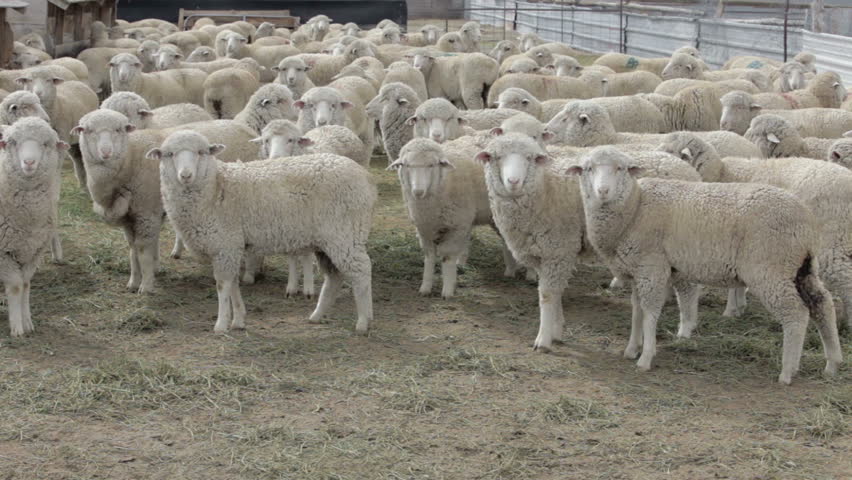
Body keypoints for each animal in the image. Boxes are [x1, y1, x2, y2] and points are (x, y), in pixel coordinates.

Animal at [0, 118, 67, 337]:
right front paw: (17, 328)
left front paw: (27, 321)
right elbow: (15, 286)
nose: (29, 162)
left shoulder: (34, 251)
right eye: (13, 142)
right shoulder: (4, 253)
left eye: (46, 143)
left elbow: (26, 284)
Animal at [151, 131, 376, 333]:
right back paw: (317, 316)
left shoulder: (225, 245)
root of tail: (365, 176)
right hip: (327, 241)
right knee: (334, 277)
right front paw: (239, 320)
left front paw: (221, 325)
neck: (215, 187)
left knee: (362, 271)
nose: (186, 175)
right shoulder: (231, 248)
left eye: (201, 152)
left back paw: (363, 322)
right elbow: (233, 284)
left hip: (345, 234)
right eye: (169, 154)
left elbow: (223, 286)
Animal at [389, 138, 520, 298]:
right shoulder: (424, 228)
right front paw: (425, 287)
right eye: (406, 165)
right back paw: (509, 270)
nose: (418, 191)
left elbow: (447, 257)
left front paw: (448, 290)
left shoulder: (457, 225)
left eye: (432, 164)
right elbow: (429, 257)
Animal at [473, 133, 700, 352]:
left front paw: (543, 339)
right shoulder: (543, 254)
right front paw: (557, 330)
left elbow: (548, 295)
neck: (544, 188)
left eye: (530, 158)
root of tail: (686, 167)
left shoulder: (558, 250)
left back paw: (685, 329)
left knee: (688, 289)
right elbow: (555, 294)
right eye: (496, 157)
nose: (513, 181)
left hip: (685, 244)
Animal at [660, 132, 852, 327]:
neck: (721, 173)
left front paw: (731, 310)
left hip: (831, 239)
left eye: (671, 152)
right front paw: (738, 307)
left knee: (844, 276)